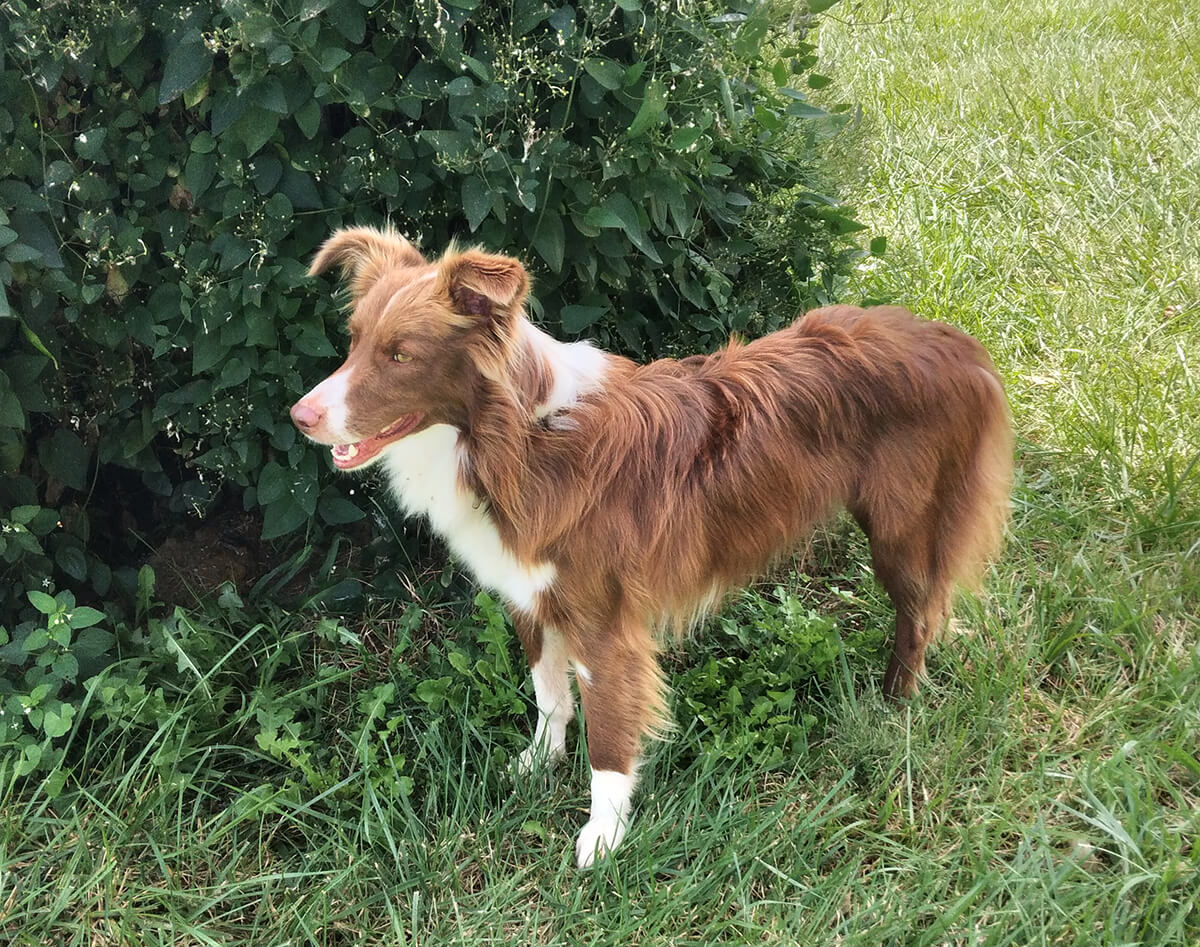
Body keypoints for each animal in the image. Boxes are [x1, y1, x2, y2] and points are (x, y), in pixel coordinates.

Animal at [290, 226, 1012, 864]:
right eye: (354, 342)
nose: (301, 416)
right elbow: (549, 695)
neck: (517, 438)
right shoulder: (530, 595)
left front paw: (602, 838)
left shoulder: (605, 624)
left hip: (901, 526)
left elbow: (610, 739)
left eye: (401, 355)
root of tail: (954, 340)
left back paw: (894, 704)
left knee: (920, 612)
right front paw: (538, 763)